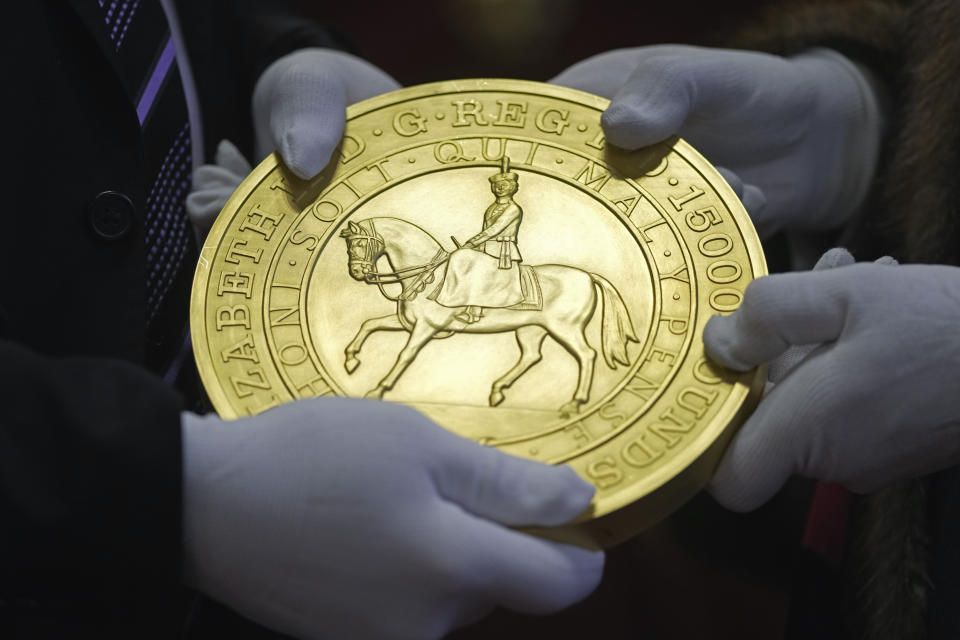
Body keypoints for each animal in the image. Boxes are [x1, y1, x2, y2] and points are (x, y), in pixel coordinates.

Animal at [338, 216, 636, 416]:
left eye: (360, 243)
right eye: (349, 244)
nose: (357, 273)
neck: (430, 275)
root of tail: (588, 276)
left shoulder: (425, 327)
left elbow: (405, 355)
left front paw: (378, 389)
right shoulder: (408, 323)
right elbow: (369, 324)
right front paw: (351, 359)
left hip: (566, 329)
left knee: (586, 355)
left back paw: (574, 403)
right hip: (531, 329)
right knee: (531, 356)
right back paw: (497, 390)